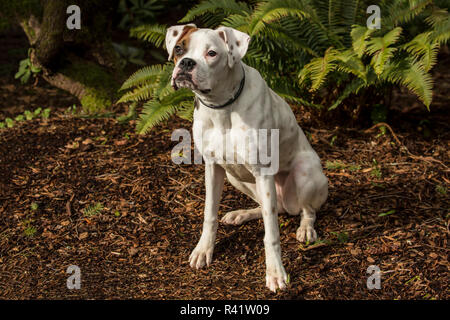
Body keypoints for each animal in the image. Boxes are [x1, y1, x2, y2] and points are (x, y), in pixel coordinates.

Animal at [165, 23, 326, 292]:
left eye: (212, 53)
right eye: (179, 49)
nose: (186, 63)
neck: (221, 106)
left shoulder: (263, 171)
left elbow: (271, 234)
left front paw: (275, 273)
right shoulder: (213, 168)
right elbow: (209, 214)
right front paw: (204, 250)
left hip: (304, 173)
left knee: (307, 210)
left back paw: (305, 228)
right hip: (236, 177)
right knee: (272, 208)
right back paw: (241, 214)